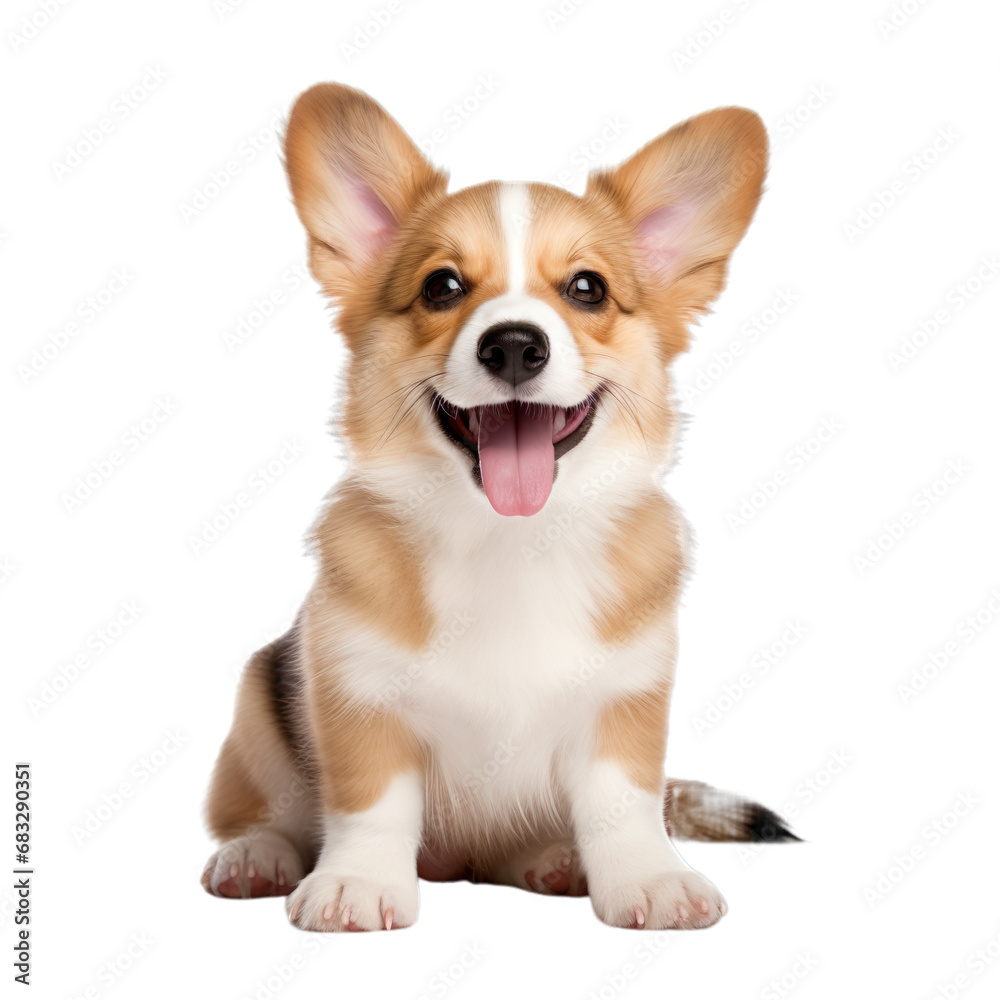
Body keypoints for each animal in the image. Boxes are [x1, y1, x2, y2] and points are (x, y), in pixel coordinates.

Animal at [203, 84, 796, 928]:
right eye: (442, 286)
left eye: (587, 288)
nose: (514, 344)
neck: (512, 538)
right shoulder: (356, 692)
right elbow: (370, 804)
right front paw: (359, 883)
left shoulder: (626, 700)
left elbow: (625, 804)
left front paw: (648, 879)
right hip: (258, 712)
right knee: (265, 810)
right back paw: (259, 855)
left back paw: (552, 860)